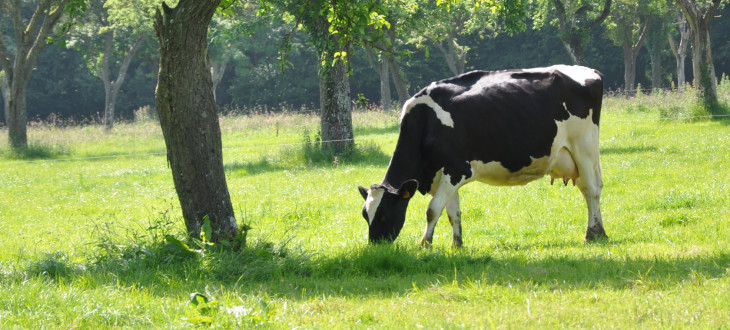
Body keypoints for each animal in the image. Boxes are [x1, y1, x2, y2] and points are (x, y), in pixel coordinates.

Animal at [356, 64, 604, 246]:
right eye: (365, 215)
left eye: (384, 214)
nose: (375, 246)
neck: (426, 122)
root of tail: (589, 71)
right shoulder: (443, 175)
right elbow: (452, 213)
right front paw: (456, 245)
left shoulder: (457, 170)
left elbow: (432, 210)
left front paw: (424, 244)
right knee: (590, 188)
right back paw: (599, 232)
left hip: (584, 146)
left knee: (591, 189)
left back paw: (593, 234)